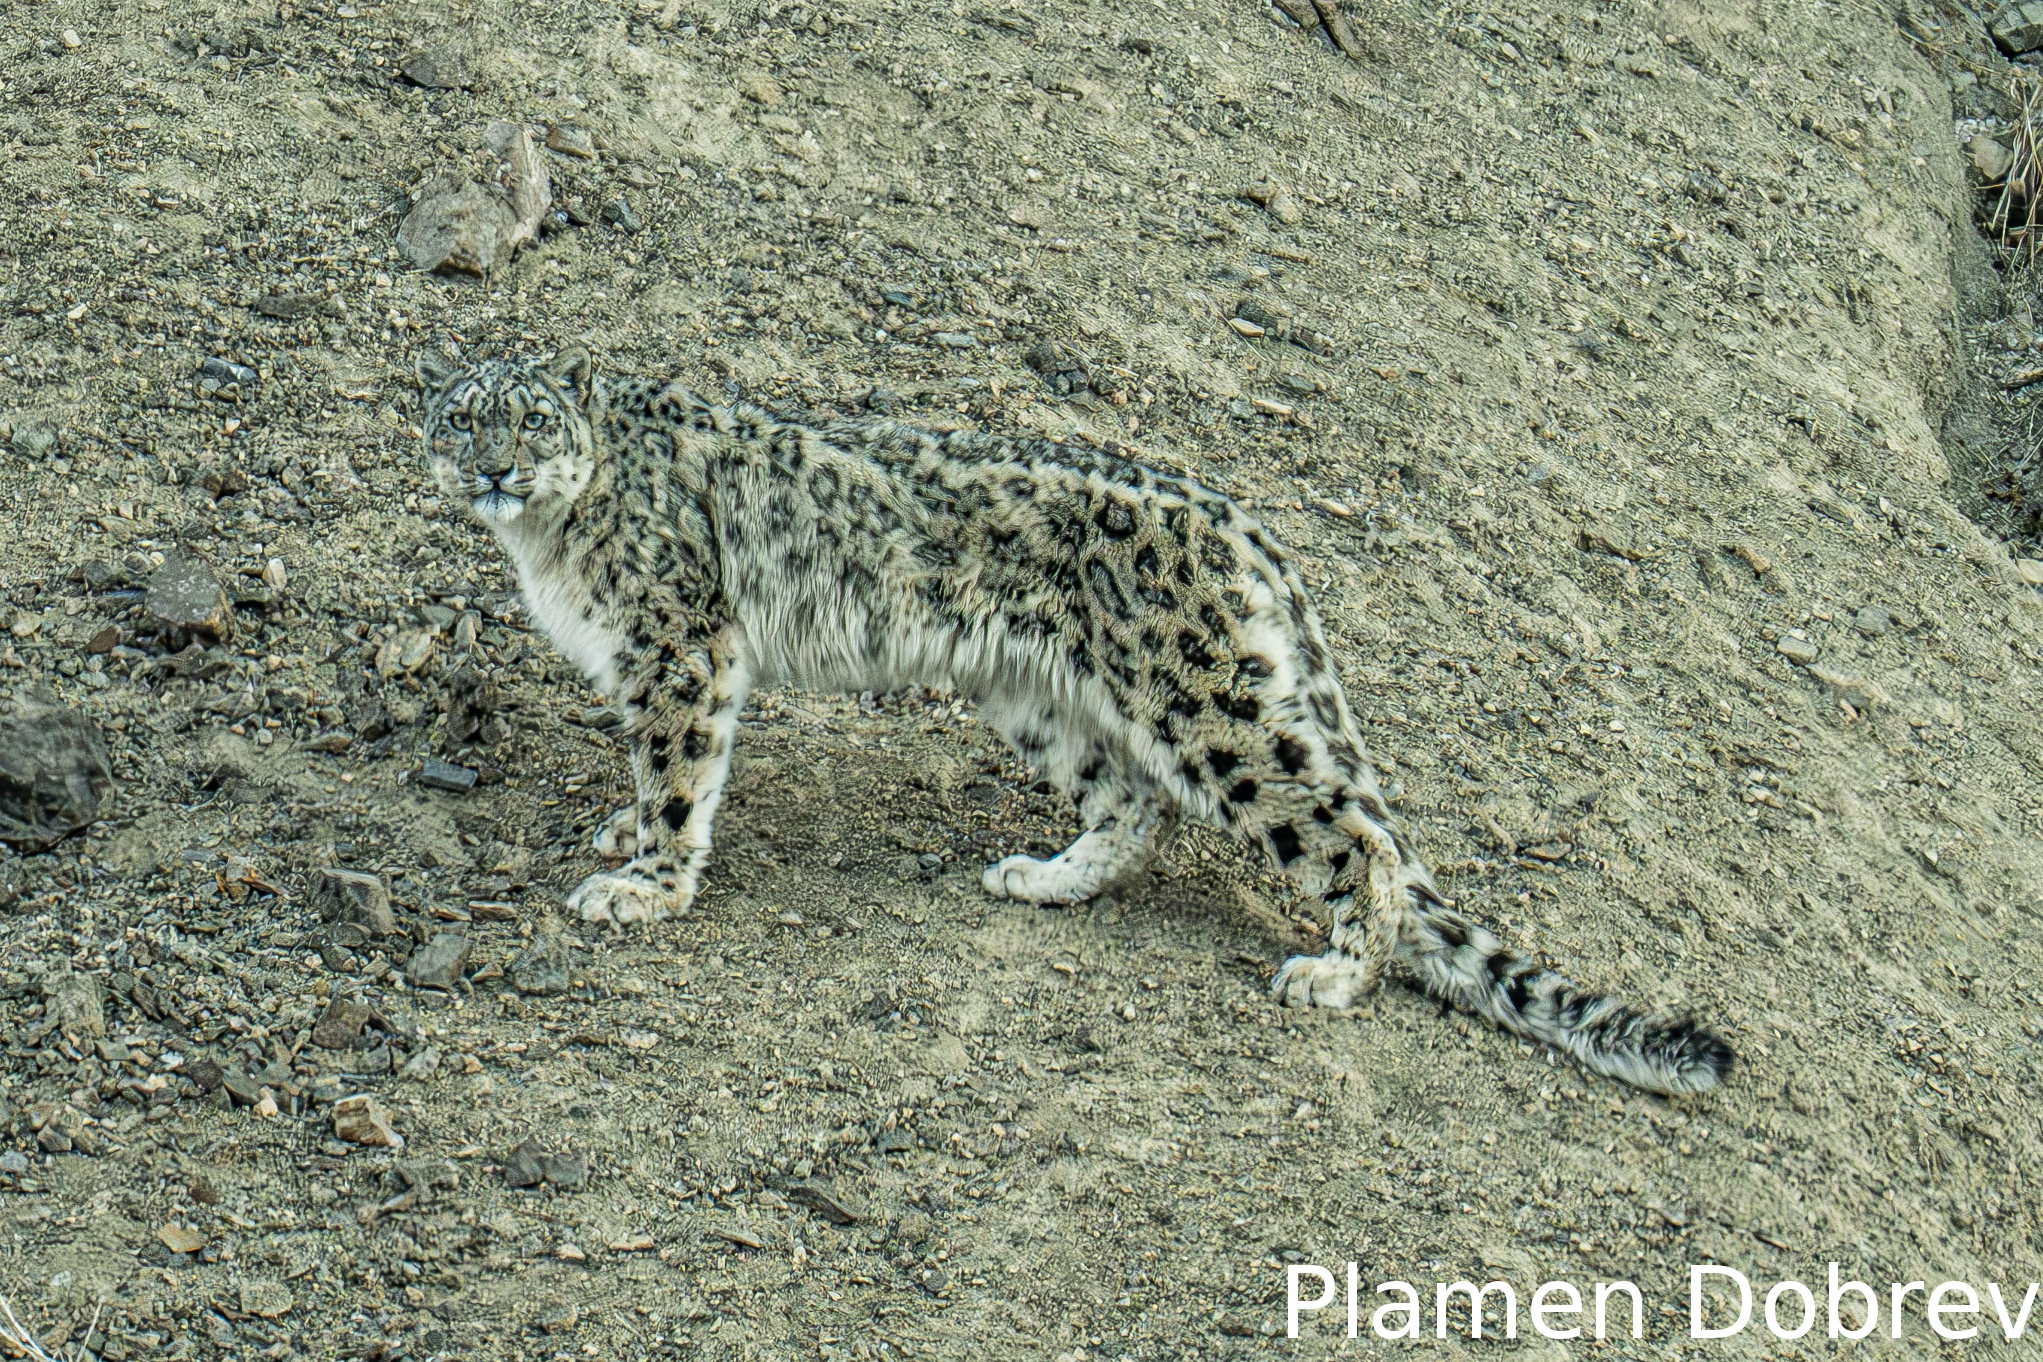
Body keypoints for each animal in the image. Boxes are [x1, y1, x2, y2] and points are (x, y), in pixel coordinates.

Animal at [416, 347, 1733, 1096]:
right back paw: (1044, 877)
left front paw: (646, 886)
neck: (546, 548)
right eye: (461, 417)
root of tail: (1236, 514)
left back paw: (1334, 973)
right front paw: (619, 832)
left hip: (1204, 709)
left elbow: (681, 770)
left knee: (1351, 836)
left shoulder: (681, 647)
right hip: (1040, 698)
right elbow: (647, 770)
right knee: (1137, 807)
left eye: (530, 422)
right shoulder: (643, 662)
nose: (490, 470)